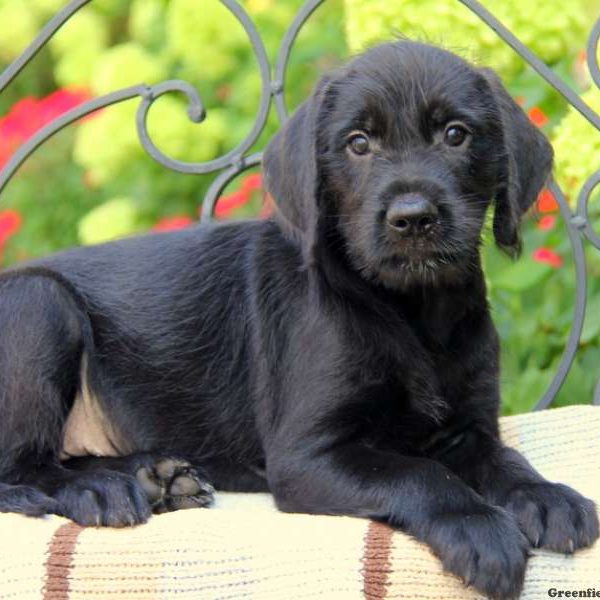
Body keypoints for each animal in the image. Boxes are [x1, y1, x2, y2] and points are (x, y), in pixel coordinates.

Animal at [0, 42, 596, 600]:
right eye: (358, 143)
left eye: (456, 135)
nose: (413, 219)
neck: (409, 311)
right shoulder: (308, 457)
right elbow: (420, 473)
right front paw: (476, 525)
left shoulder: (466, 428)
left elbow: (505, 460)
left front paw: (546, 496)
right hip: (39, 302)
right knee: (23, 468)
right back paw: (99, 490)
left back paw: (156, 477)